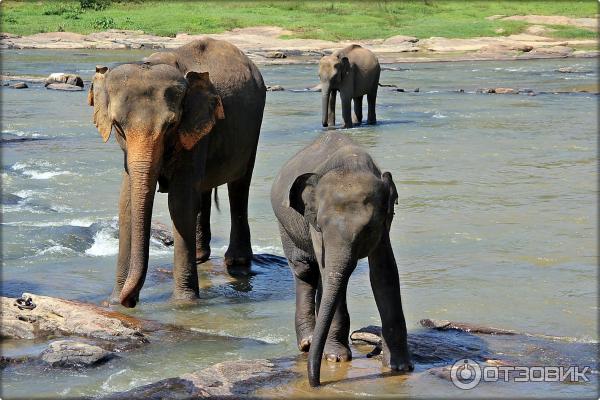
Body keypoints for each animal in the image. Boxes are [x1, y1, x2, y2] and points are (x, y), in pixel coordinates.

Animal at [88, 37, 266, 308]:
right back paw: (201, 256)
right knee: (204, 190)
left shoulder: (194, 127)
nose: (131, 301)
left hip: (253, 126)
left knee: (239, 185)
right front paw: (113, 302)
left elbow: (180, 203)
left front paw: (184, 303)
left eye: (171, 125)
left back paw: (237, 262)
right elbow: (126, 203)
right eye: (118, 126)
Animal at [270, 133, 412, 386]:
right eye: (321, 225)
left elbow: (384, 272)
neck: (351, 163)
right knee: (306, 270)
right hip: (285, 226)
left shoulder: (384, 223)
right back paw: (307, 343)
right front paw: (335, 358)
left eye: (367, 229)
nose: (316, 383)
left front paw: (399, 367)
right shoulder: (313, 225)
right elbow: (328, 270)